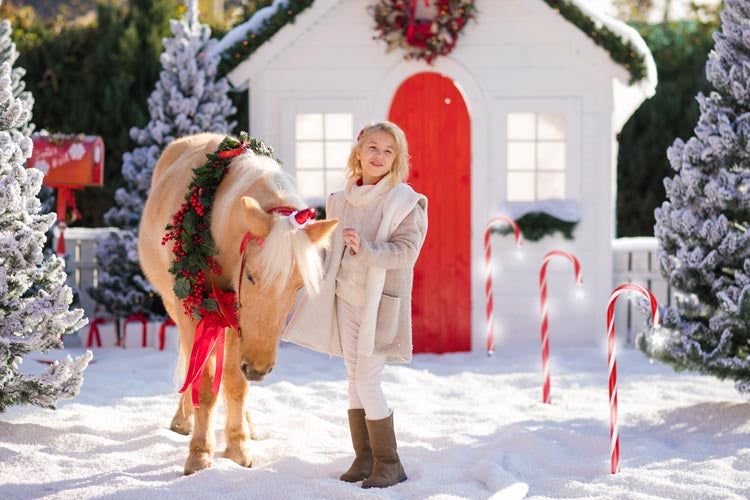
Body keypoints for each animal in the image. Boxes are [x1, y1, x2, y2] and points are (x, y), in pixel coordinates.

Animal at [140, 132, 338, 472]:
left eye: (298, 285)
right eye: (252, 277)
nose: (258, 368)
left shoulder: (236, 320)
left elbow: (236, 384)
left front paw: (237, 446)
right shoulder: (194, 311)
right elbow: (205, 385)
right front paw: (200, 454)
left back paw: (248, 425)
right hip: (176, 305)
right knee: (190, 360)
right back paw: (183, 418)